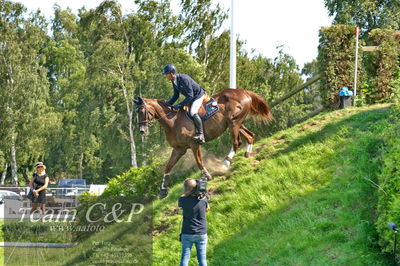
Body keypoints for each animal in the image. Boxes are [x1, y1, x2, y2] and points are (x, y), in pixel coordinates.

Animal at [133, 88, 274, 197]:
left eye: (142, 111)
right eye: (137, 112)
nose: (142, 131)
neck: (173, 121)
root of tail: (244, 92)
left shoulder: (194, 145)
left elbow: (199, 162)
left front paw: (206, 176)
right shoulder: (179, 149)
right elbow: (168, 167)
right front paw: (163, 190)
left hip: (234, 123)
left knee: (236, 143)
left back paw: (225, 163)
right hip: (236, 124)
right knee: (250, 136)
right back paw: (247, 154)